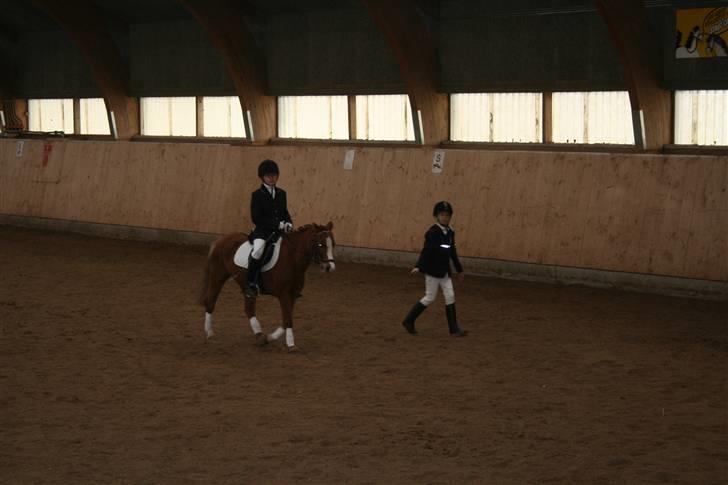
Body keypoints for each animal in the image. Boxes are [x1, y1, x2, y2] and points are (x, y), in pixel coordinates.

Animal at [198, 223, 336, 352]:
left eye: (333, 244)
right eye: (320, 245)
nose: (329, 267)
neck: (292, 258)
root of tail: (222, 239)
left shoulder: (293, 295)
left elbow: (286, 319)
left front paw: (270, 337)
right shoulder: (284, 295)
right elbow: (288, 320)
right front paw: (291, 345)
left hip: (246, 286)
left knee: (249, 309)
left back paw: (260, 336)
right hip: (218, 276)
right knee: (210, 301)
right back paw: (209, 333)